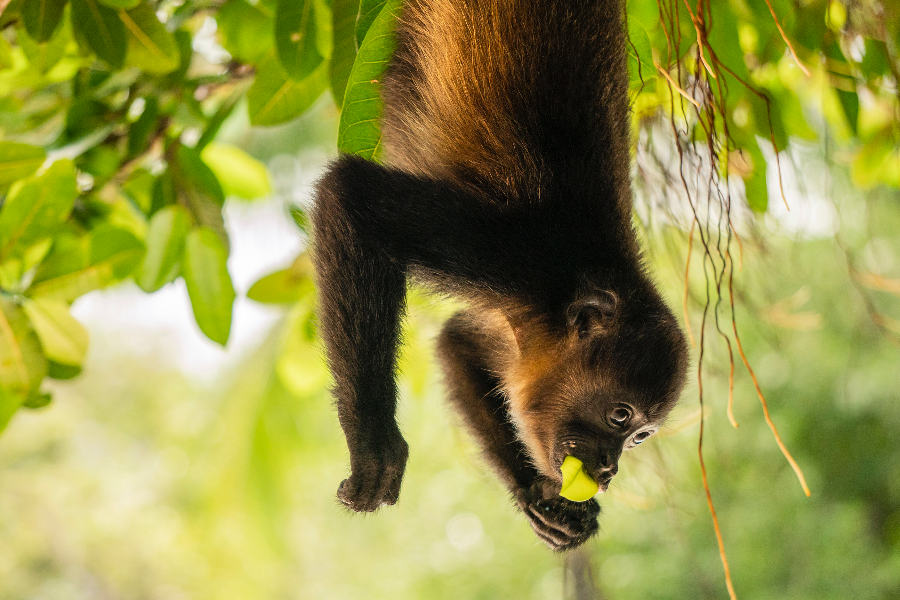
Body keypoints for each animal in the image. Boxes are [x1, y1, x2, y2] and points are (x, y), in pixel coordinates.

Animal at [312, 0, 688, 552]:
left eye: (641, 437)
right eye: (621, 416)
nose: (609, 469)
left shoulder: (522, 332)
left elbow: (456, 343)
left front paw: (542, 499)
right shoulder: (521, 259)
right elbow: (350, 195)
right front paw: (374, 443)